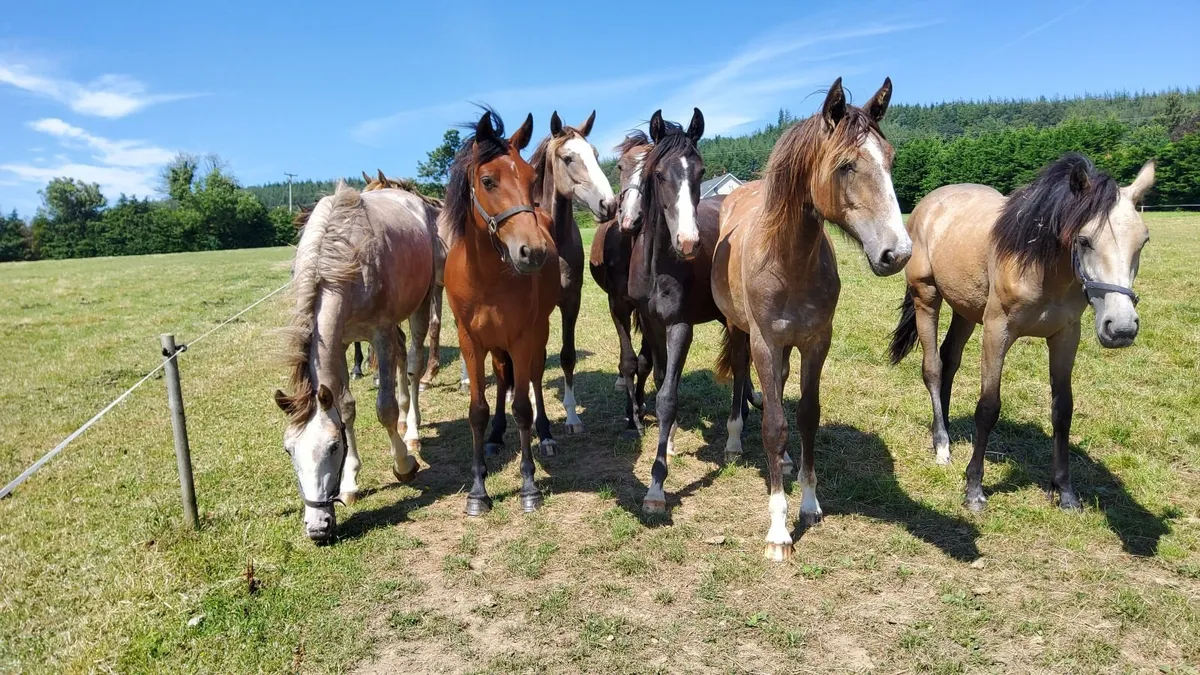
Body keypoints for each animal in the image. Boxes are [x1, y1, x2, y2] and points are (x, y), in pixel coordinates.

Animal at [274, 183, 436, 542]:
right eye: (289, 451)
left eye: (334, 447)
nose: (317, 527)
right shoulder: (340, 342)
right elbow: (345, 407)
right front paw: (350, 483)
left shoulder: (379, 332)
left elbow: (385, 408)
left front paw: (404, 465)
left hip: (423, 303)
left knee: (414, 364)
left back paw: (412, 430)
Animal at [442, 108, 561, 516]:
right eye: (488, 180)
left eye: (531, 179)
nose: (533, 252)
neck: (486, 279)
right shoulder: (470, 341)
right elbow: (477, 410)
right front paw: (478, 492)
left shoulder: (523, 337)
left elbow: (523, 406)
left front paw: (529, 487)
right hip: (494, 346)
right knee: (501, 378)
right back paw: (495, 436)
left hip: (538, 333)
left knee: (534, 379)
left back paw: (546, 435)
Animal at [525, 110, 618, 433]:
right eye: (567, 158)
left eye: (595, 154)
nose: (609, 204)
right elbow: (536, 360)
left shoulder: (571, 302)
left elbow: (567, 356)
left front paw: (573, 417)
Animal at [712, 77, 911, 561]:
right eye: (845, 165)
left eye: (891, 158)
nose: (898, 253)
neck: (790, 262)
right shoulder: (765, 342)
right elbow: (773, 425)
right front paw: (778, 531)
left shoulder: (817, 341)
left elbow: (805, 416)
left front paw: (808, 503)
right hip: (741, 331)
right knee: (742, 377)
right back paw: (733, 441)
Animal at [889, 153, 1155, 511]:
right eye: (1084, 240)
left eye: (1143, 240)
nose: (1122, 328)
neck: (1040, 265)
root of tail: (928, 205)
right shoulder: (997, 330)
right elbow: (988, 407)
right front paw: (974, 490)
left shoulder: (1066, 336)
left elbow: (1062, 410)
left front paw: (1065, 492)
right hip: (926, 298)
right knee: (933, 368)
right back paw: (942, 445)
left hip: (965, 310)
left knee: (949, 361)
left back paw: (940, 428)